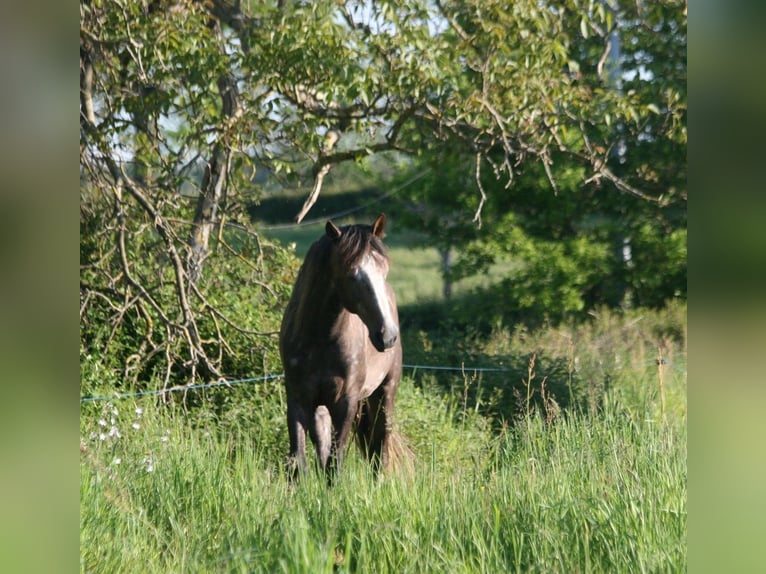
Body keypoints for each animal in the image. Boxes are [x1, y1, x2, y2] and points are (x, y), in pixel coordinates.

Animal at [280, 215, 404, 482]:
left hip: (385, 394)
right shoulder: (297, 399)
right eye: (351, 274)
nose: (387, 335)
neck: (320, 339)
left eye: (384, 271)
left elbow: (334, 465)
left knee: (380, 448)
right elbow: (300, 463)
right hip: (321, 411)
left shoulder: (346, 403)